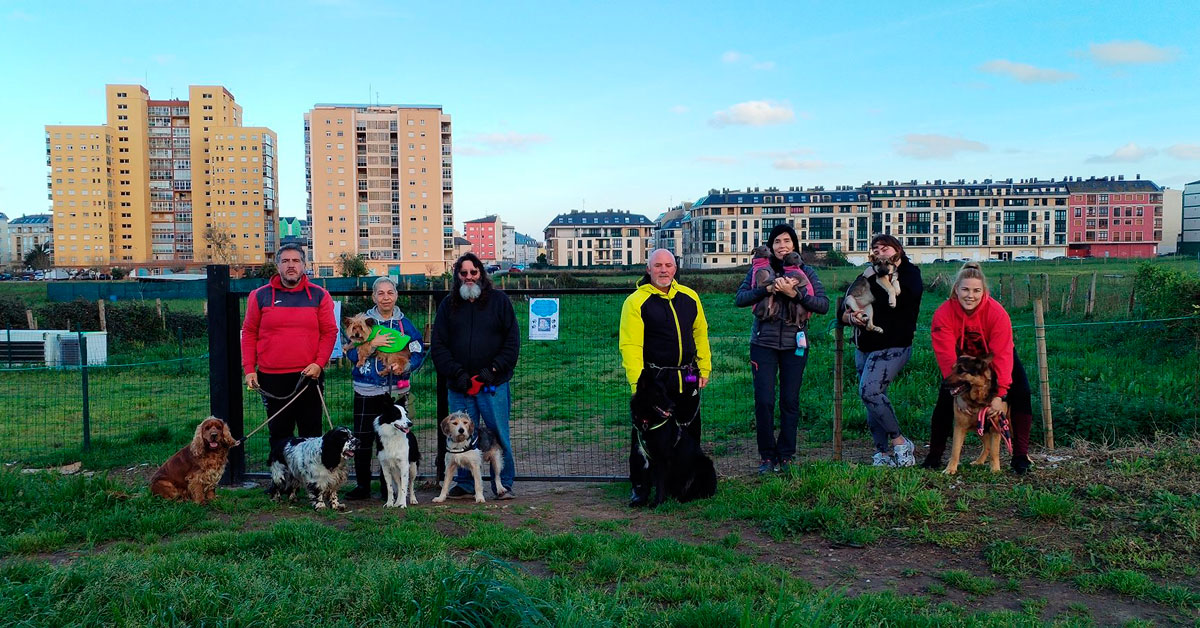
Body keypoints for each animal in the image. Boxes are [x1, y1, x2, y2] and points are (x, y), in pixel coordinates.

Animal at [633, 369, 715, 506]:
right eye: (657, 394)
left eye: (666, 393)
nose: (673, 406)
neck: (649, 422)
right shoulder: (645, 459)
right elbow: (645, 483)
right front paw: (641, 500)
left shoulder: (662, 459)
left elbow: (660, 485)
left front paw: (657, 503)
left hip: (704, 464)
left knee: (699, 493)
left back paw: (683, 499)